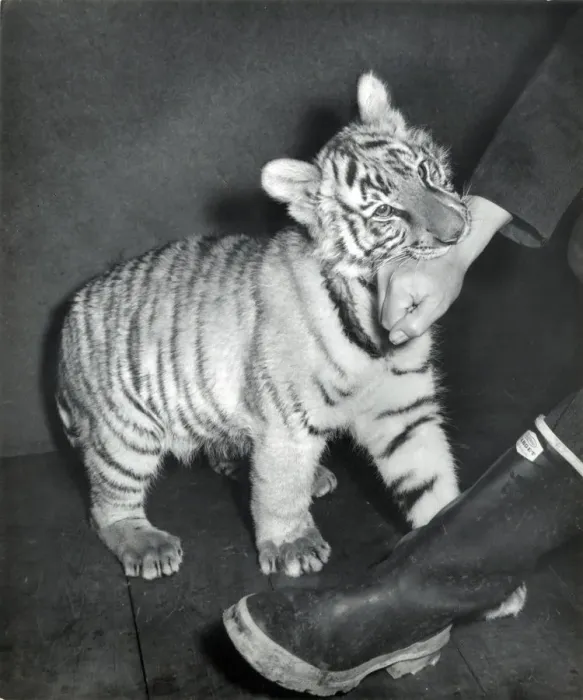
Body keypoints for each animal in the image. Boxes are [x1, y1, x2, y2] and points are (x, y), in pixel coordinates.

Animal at [55, 72, 525, 617]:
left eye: (428, 172)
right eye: (386, 212)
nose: (457, 231)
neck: (371, 317)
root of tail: (73, 309)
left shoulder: (404, 411)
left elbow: (432, 482)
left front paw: (467, 563)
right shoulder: (287, 422)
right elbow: (279, 490)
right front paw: (291, 546)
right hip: (126, 433)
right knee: (107, 504)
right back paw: (145, 543)